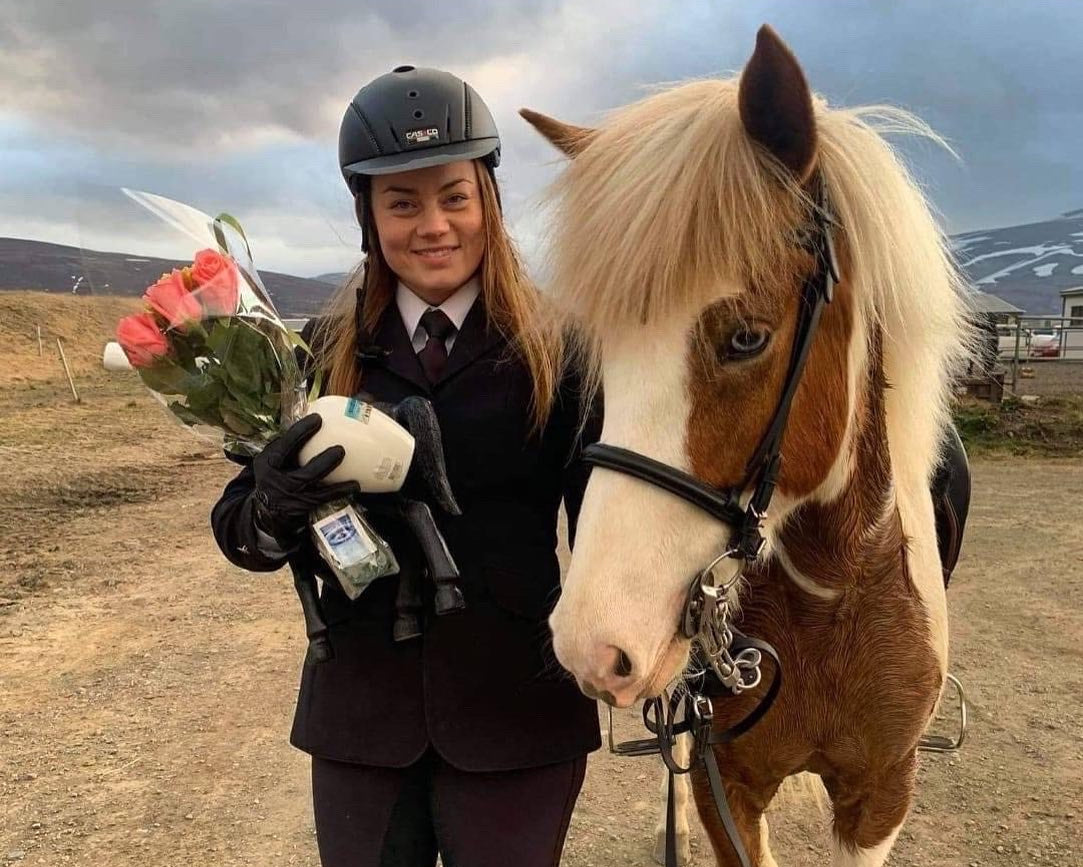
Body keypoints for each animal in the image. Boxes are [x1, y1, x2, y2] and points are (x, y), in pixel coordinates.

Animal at [522, 25, 972, 867]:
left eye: (745, 338)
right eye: (598, 353)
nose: (589, 643)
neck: (829, 598)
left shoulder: (880, 796)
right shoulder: (725, 782)